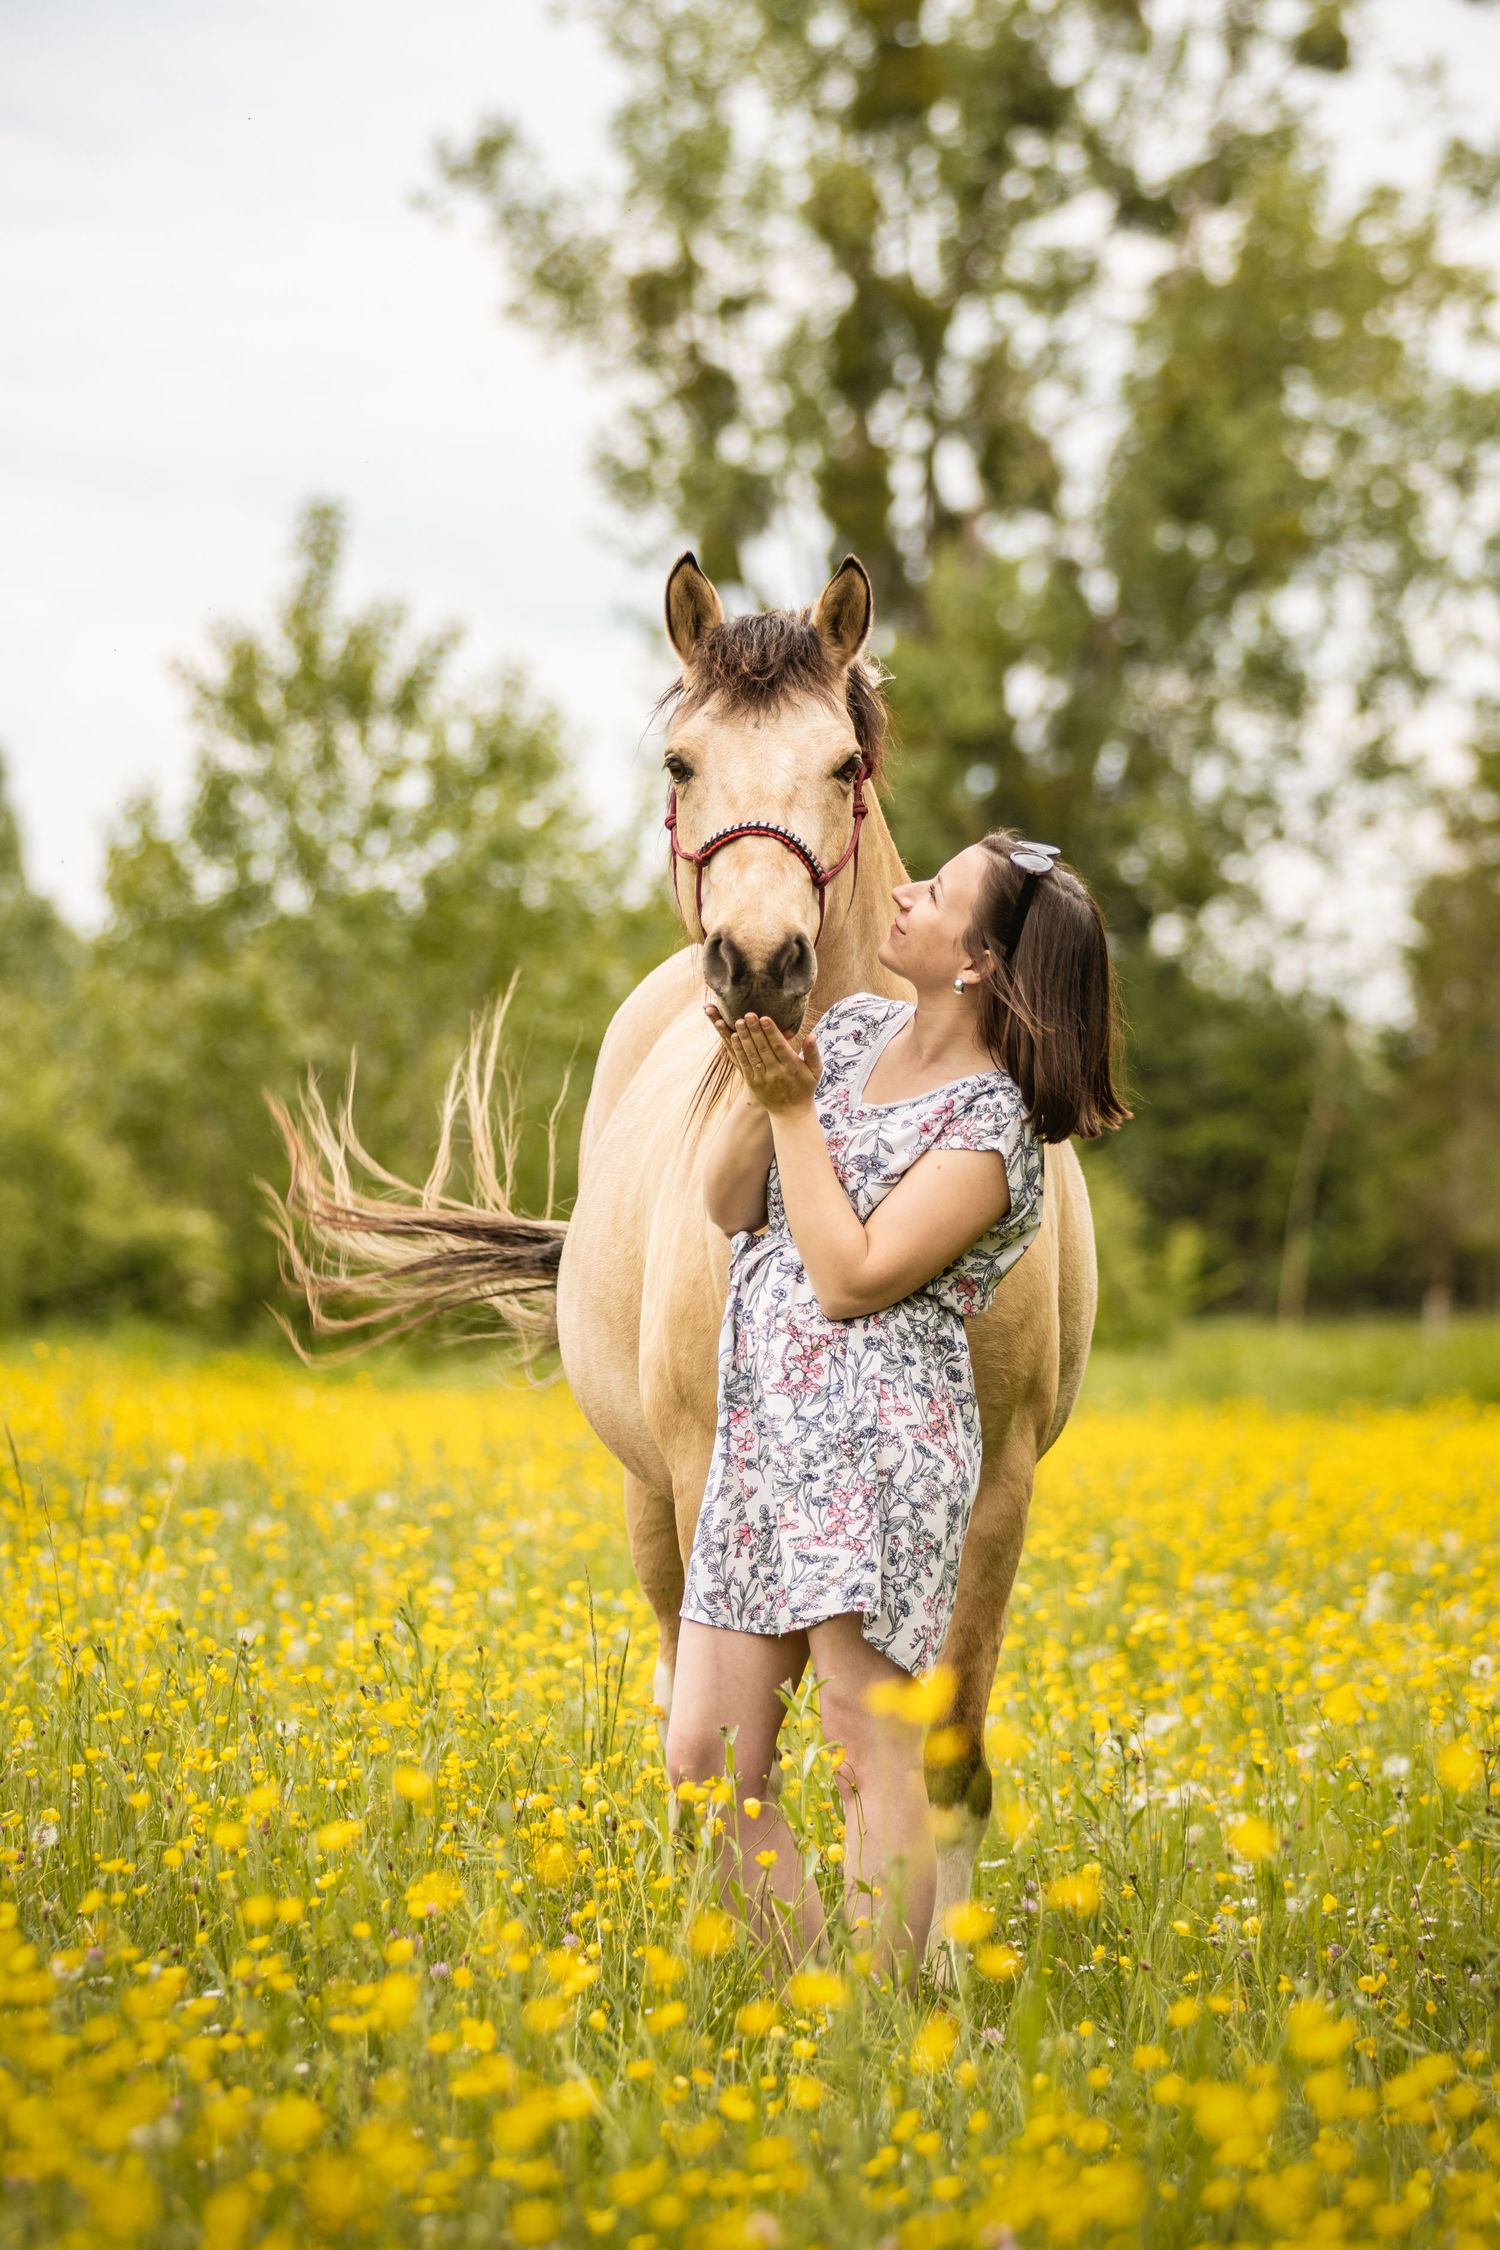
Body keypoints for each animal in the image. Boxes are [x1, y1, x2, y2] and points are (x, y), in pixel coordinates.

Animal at [265, 549, 1099, 1977]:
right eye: (680, 761)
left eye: (841, 762)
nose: (760, 963)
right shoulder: (713, 1489)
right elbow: (737, 1741)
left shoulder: (997, 1503)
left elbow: (939, 1756)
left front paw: (936, 1977)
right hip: (655, 1506)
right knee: (684, 1709)